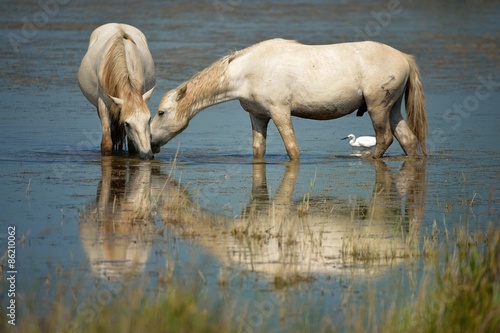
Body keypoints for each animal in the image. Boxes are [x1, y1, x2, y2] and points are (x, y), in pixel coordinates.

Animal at [78, 22, 155, 159]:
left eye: (149, 119)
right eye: (127, 124)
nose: (147, 155)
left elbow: (132, 146)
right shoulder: (103, 103)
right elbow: (107, 143)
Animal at [150, 38, 428, 160]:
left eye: (161, 112)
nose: (150, 141)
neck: (249, 70)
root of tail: (404, 58)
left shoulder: (280, 112)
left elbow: (292, 149)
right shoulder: (258, 116)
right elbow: (258, 149)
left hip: (377, 107)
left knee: (385, 138)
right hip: (392, 109)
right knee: (408, 140)